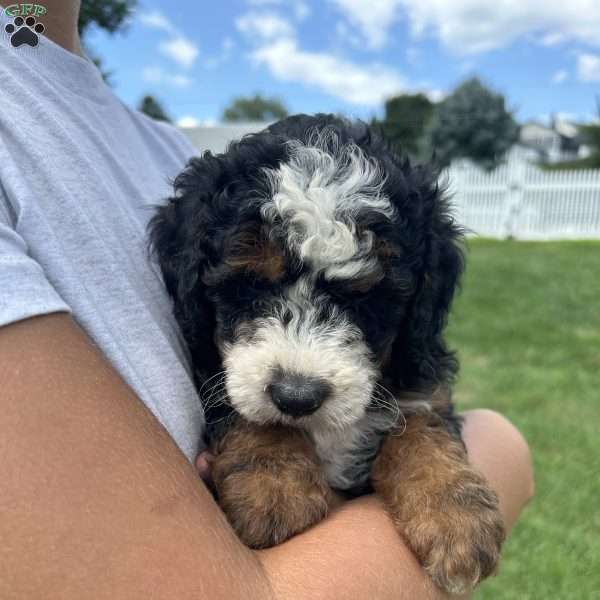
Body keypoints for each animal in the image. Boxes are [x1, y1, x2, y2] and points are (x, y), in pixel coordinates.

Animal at [150, 113, 506, 596]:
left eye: (367, 299)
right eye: (248, 286)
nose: (297, 397)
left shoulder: (421, 373)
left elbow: (423, 426)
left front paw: (456, 515)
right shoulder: (210, 366)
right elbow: (246, 410)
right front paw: (275, 488)